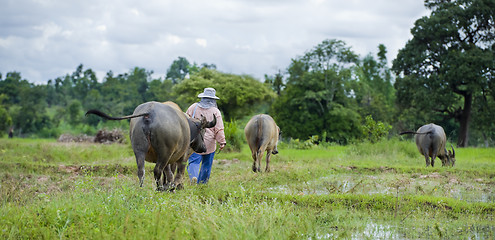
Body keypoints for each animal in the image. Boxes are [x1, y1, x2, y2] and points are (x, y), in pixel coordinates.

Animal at [85, 101, 217, 191]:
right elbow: (177, 173)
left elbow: (168, 173)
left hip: (139, 150)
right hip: (164, 153)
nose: (204, 148)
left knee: (141, 170)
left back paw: (142, 188)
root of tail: (150, 112)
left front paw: (169, 186)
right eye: (204, 131)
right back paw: (160, 188)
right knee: (157, 170)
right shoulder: (181, 157)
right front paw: (174, 187)